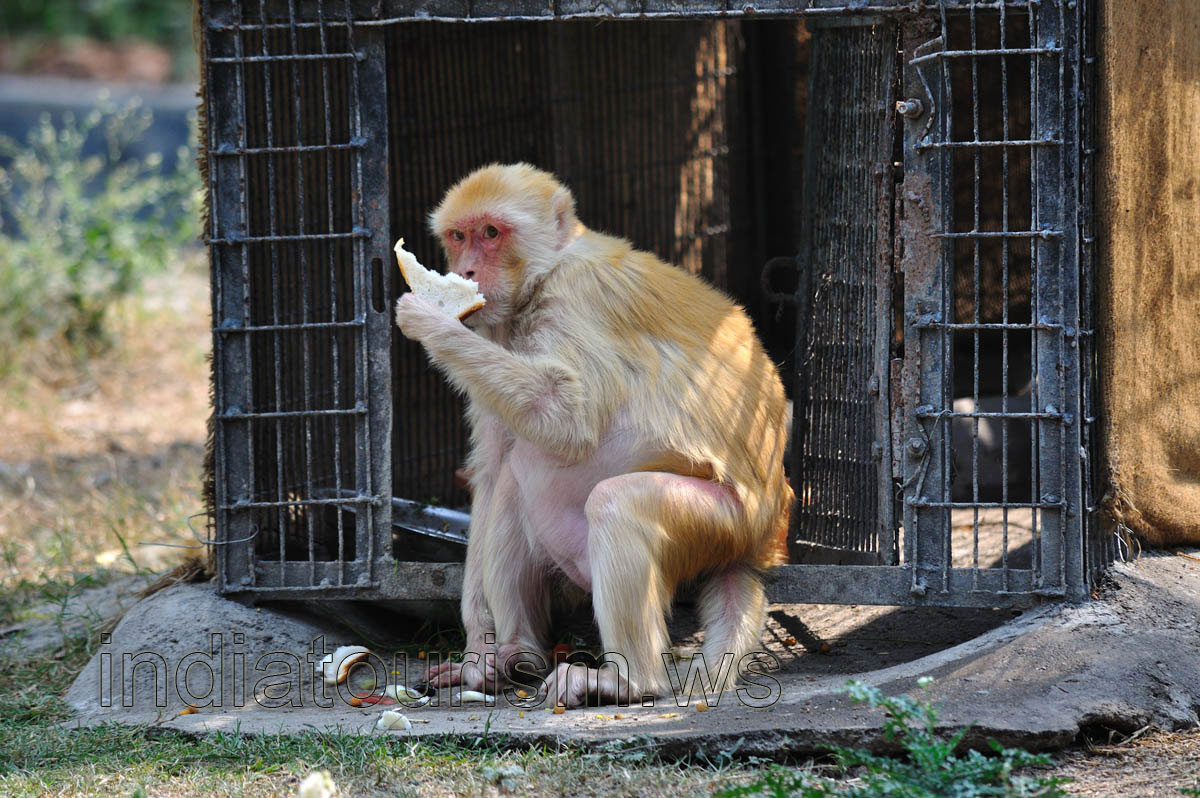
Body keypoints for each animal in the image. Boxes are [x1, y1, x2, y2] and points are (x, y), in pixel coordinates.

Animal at [394, 163, 792, 707]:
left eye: (492, 233)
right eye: (459, 236)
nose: (468, 270)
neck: (545, 273)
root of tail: (765, 536)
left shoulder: (575, 299)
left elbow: (568, 420)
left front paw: (432, 320)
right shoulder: (498, 329)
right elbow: (492, 470)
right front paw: (478, 649)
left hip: (724, 523)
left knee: (610, 500)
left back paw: (628, 681)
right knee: (514, 478)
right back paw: (514, 656)